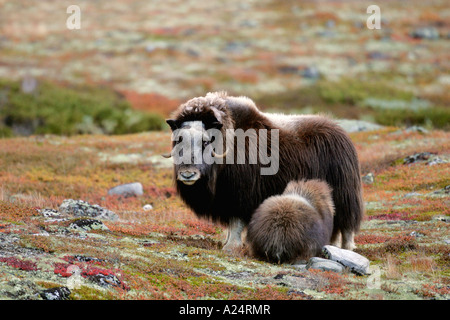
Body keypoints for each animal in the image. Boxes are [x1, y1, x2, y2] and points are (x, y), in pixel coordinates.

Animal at [165, 91, 366, 251]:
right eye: (178, 141)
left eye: (205, 142)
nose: (187, 174)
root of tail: (340, 131)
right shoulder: (226, 198)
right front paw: (228, 243)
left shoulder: (240, 195)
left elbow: (236, 222)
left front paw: (231, 247)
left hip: (344, 194)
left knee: (347, 224)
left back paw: (347, 249)